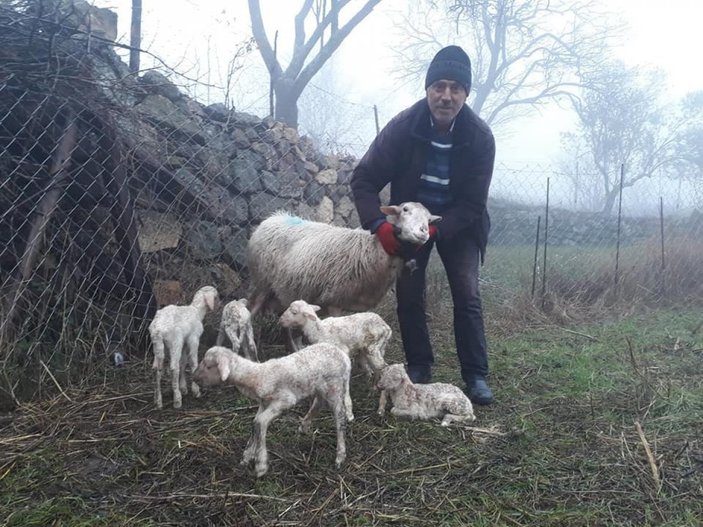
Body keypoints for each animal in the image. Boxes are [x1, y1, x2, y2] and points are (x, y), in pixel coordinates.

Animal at [192, 344, 354, 480]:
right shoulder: (265, 403)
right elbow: (255, 423)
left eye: (209, 366)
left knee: (340, 416)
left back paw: (340, 455)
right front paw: (247, 457)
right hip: (320, 386)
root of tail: (344, 356)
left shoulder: (285, 400)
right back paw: (304, 426)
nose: (194, 378)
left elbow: (260, 422)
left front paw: (260, 464)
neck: (257, 375)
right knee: (319, 402)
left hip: (335, 386)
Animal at [245, 202, 438, 318]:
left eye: (429, 220)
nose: (423, 232)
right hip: (263, 279)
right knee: (253, 307)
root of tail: (272, 217)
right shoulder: (334, 299)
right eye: (405, 209)